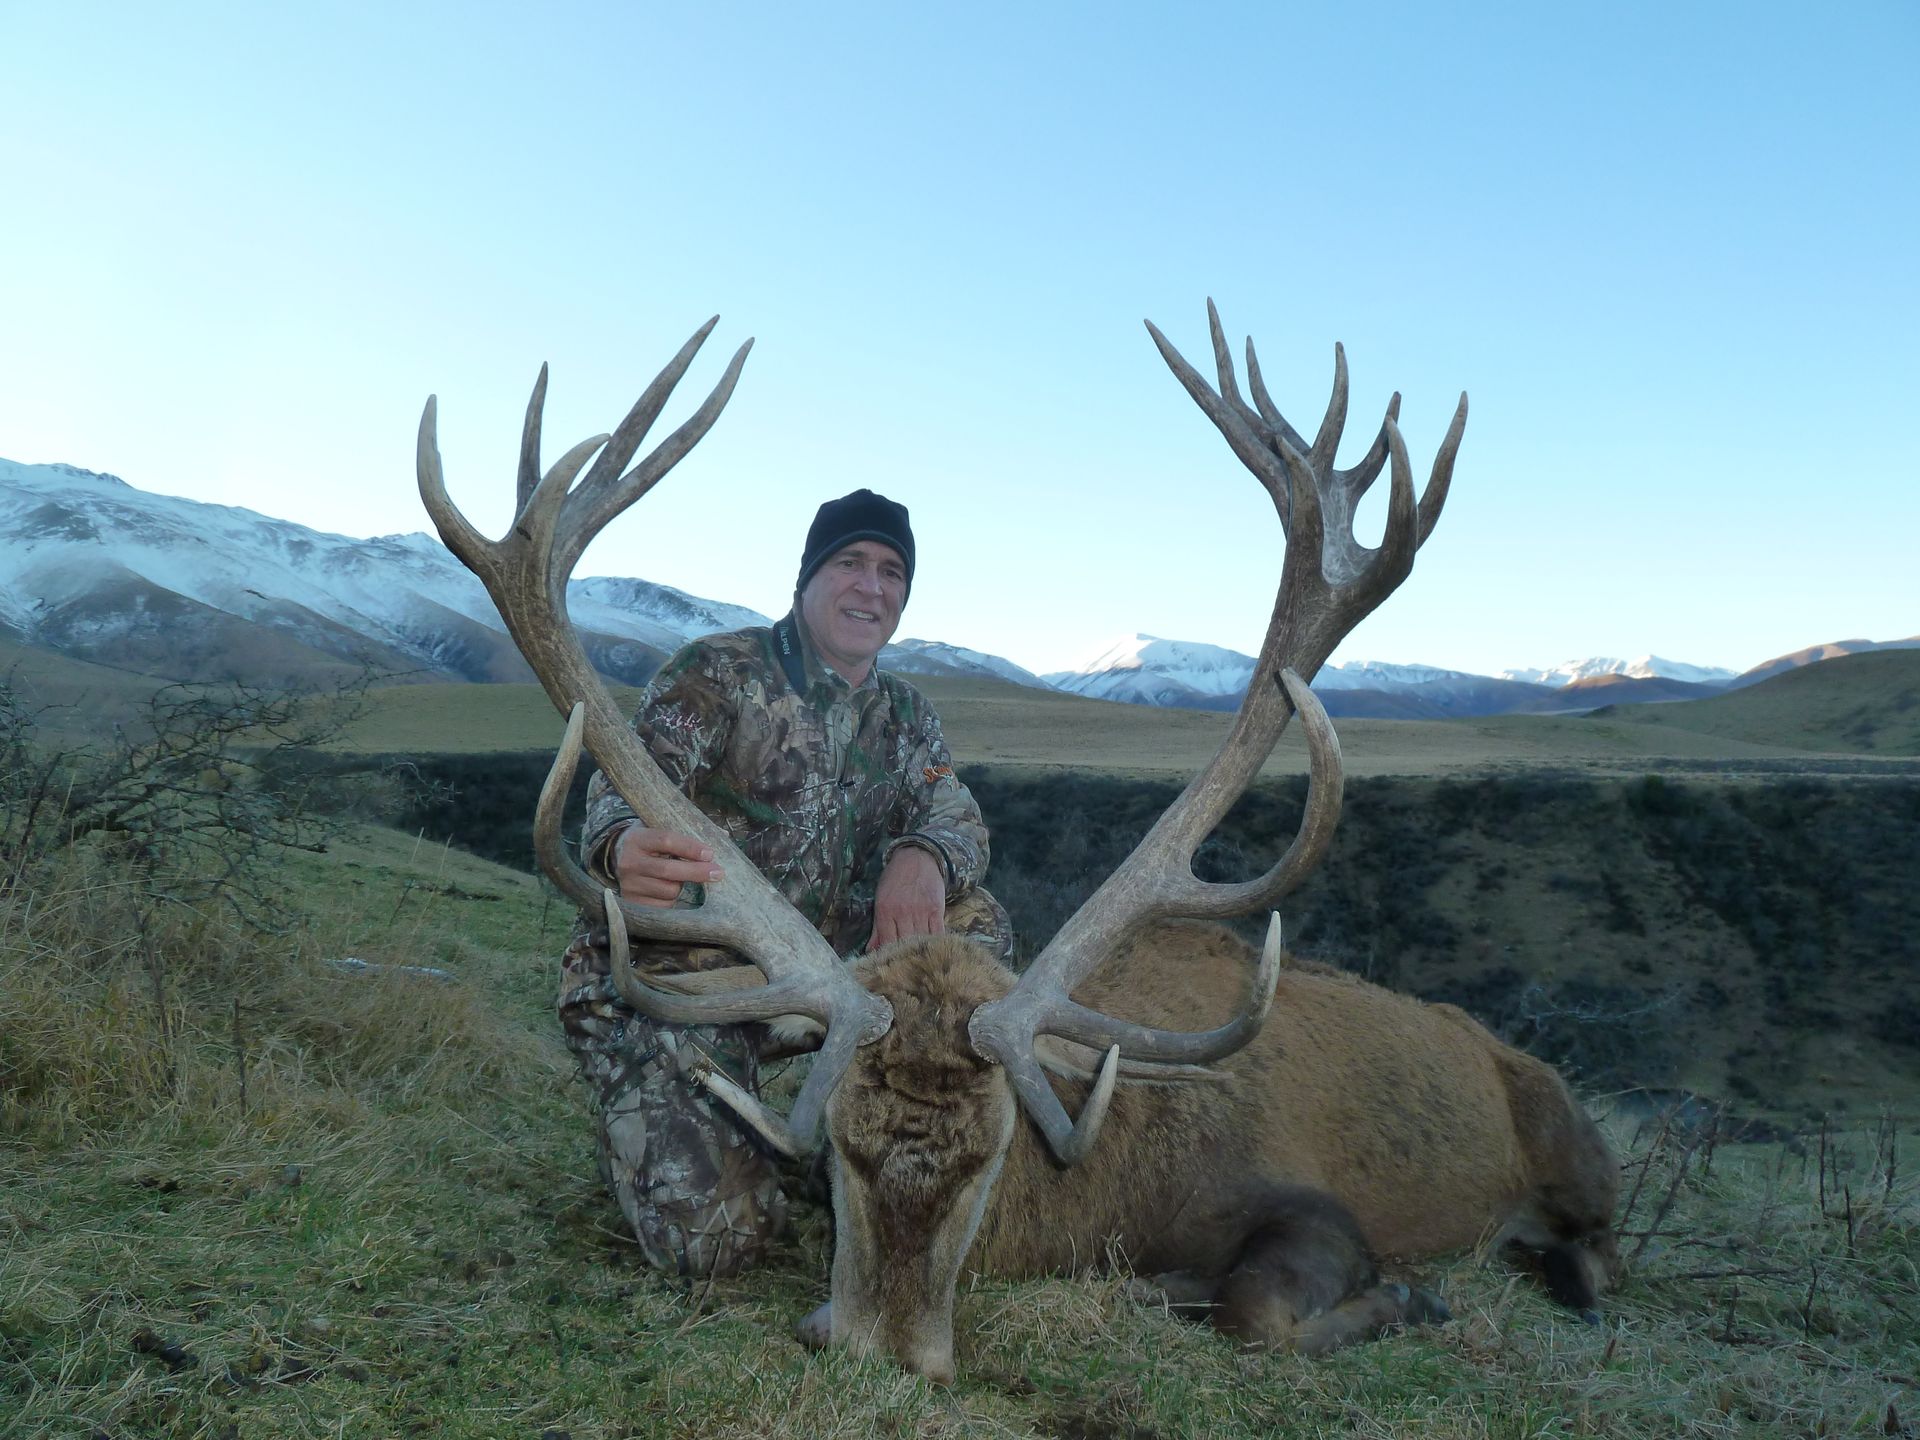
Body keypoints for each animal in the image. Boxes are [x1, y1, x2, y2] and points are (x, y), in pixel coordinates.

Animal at [416, 304, 1621, 1384]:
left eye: (994, 1156)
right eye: (837, 1152)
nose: (883, 1349)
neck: (1112, 1191)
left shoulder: (1315, 1206)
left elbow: (1258, 1310)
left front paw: (1407, 1296)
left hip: (1576, 1143)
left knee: (1597, 1249)